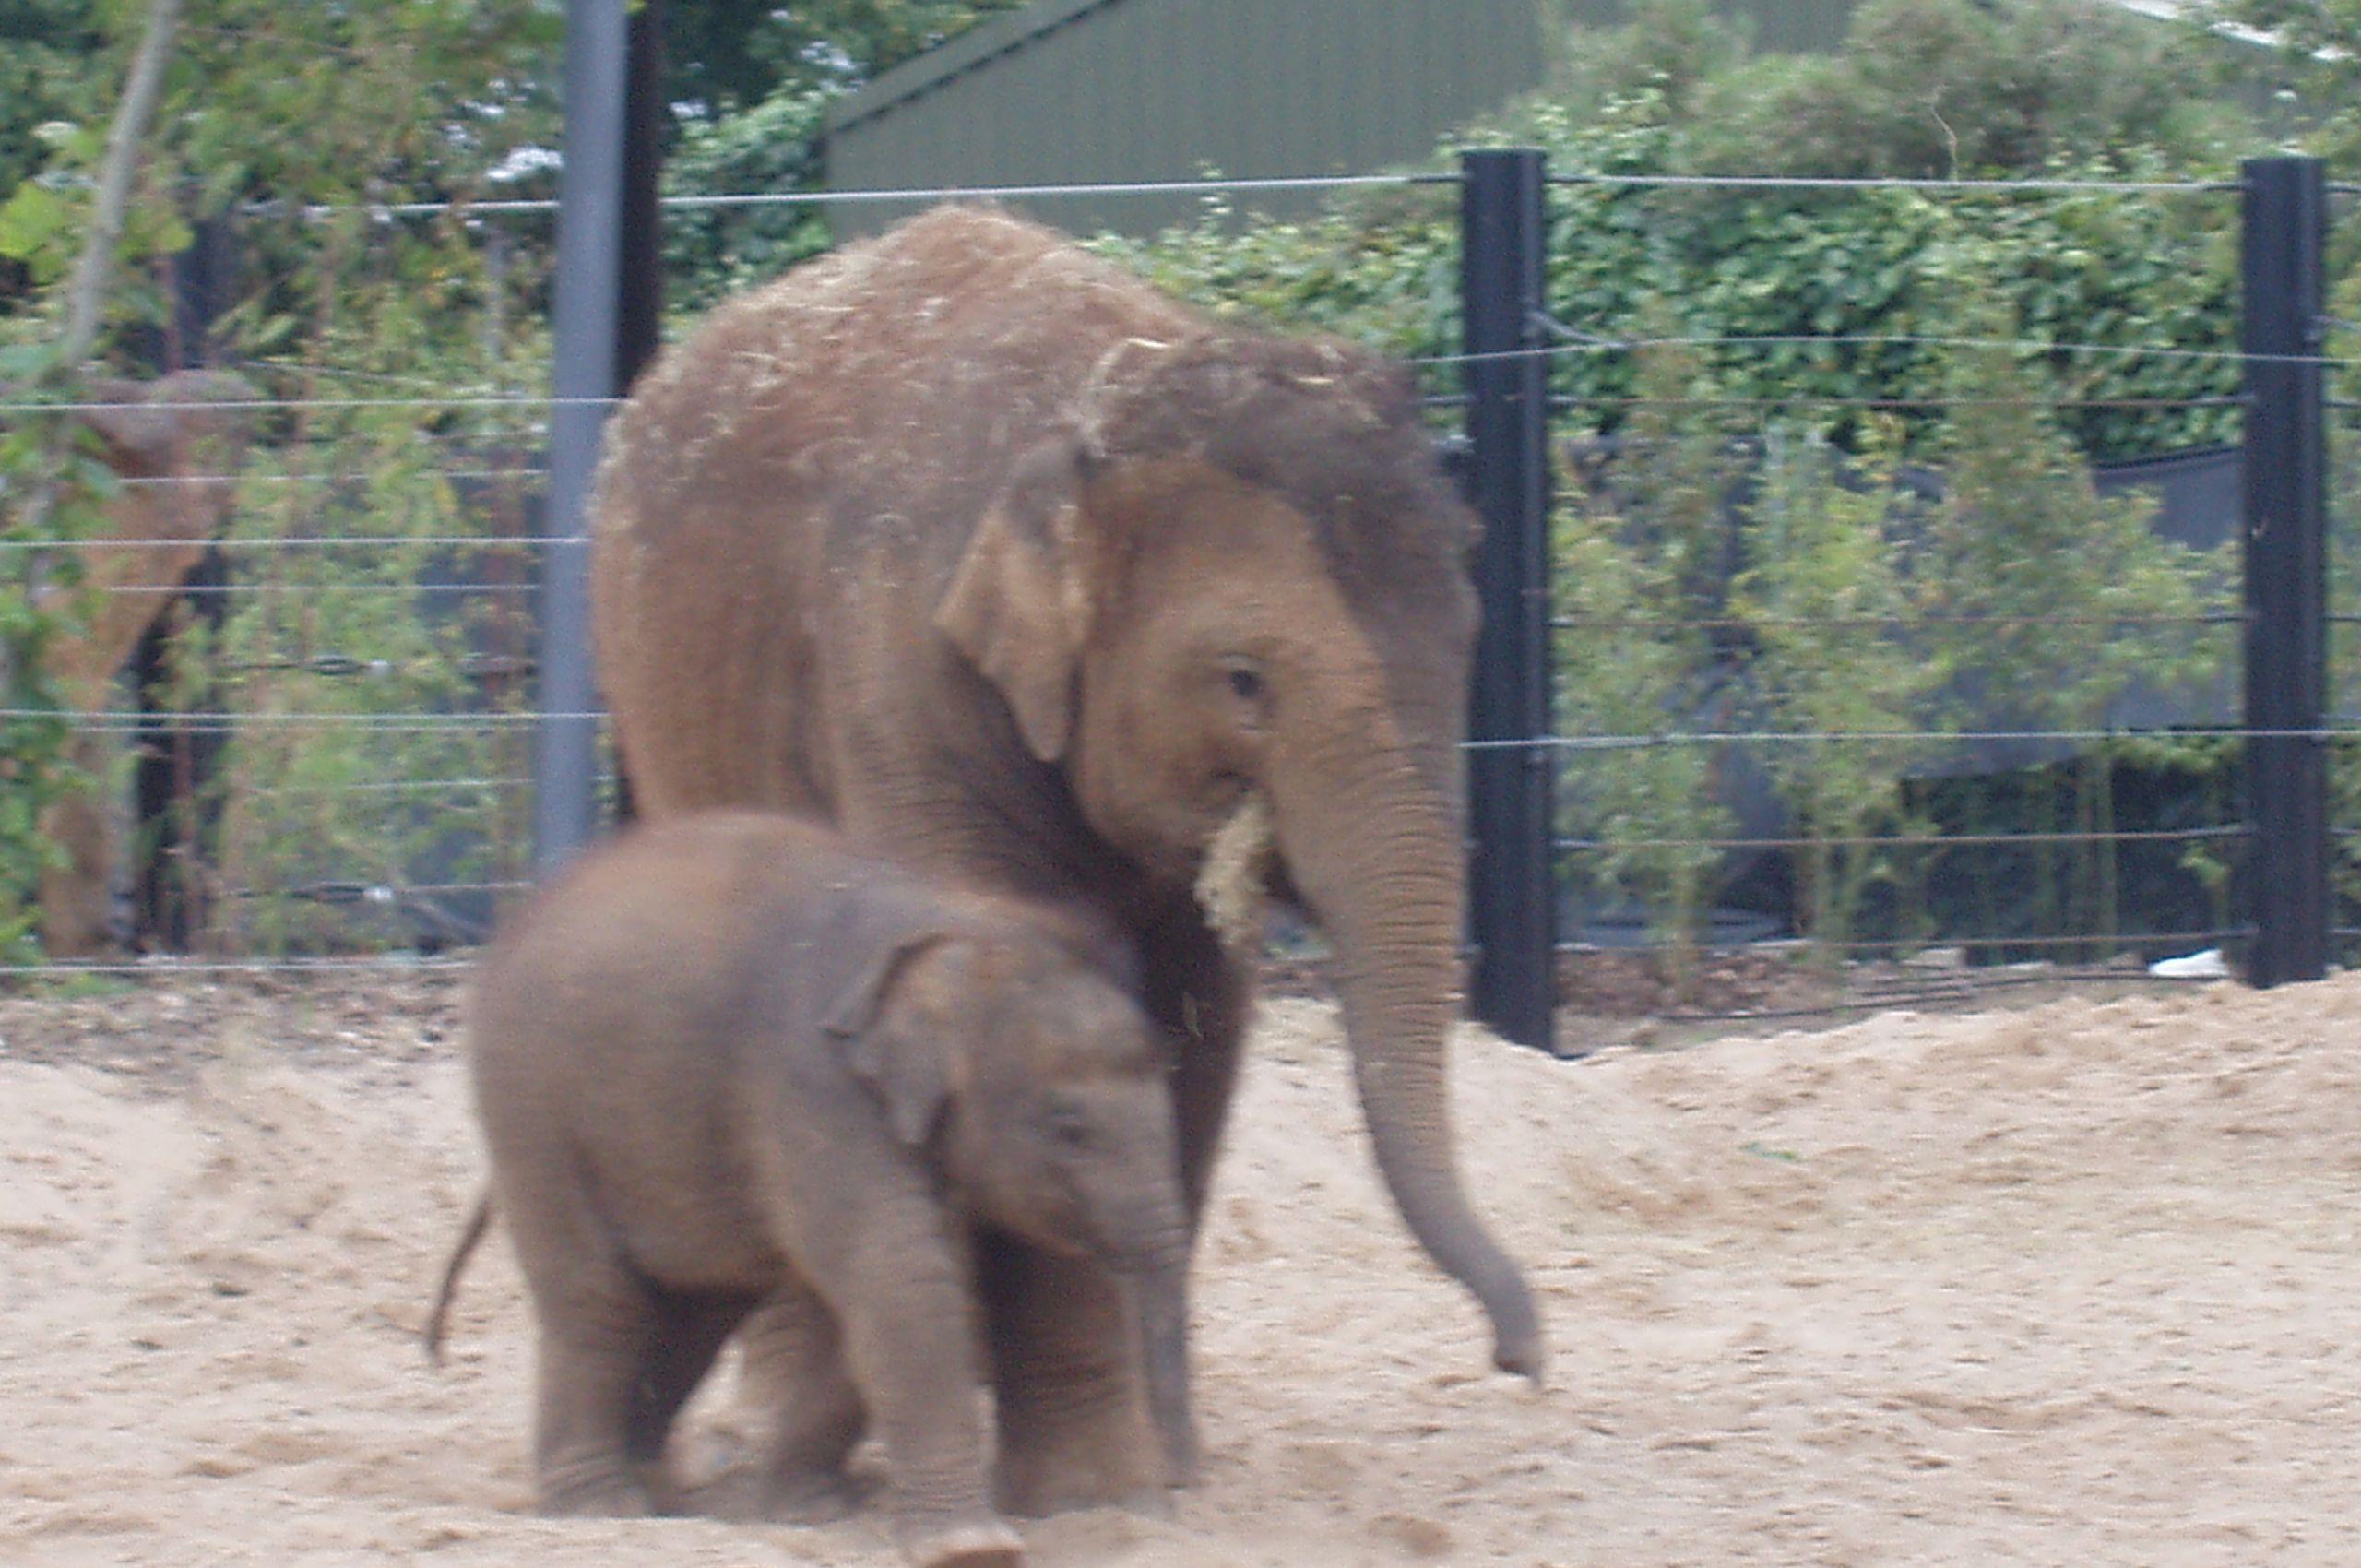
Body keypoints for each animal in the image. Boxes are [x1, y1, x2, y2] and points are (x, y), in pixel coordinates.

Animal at [436, 810, 1194, 1568]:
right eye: (1069, 1127)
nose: (1168, 1494)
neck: (955, 923)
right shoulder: (813, 1085)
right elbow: (899, 1278)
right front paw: (969, 1549)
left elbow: (869, 1303)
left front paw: (807, 1511)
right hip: (532, 1108)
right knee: (600, 1300)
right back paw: (601, 1508)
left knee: (695, 1307)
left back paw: (657, 1490)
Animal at [589, 202, 1544, 1512]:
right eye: (1243, 679)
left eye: (1468, 640)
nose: (1522, 1357)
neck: (1107, 396)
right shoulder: (903, 678)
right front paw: (1089, 1489)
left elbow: (1193, 1038)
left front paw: (1150, 1473)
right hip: (661, 714)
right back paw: (778, 1460)